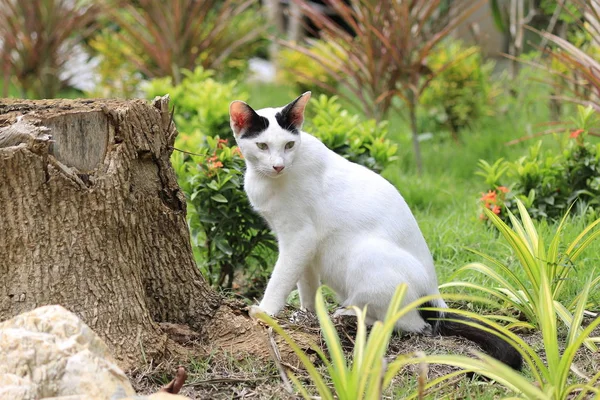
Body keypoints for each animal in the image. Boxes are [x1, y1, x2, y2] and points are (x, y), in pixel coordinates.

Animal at [229, 93, 520, 368]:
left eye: (289, 145)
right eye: (262, 145)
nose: (278, 165)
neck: (267, 181)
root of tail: (435, 300)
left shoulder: (300, 237)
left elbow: (281, 278)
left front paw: (265, 311)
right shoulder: (303, 245)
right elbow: (306, 283)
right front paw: (307, 313)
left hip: (366, 255)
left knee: (413, 325)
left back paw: (351, 314)